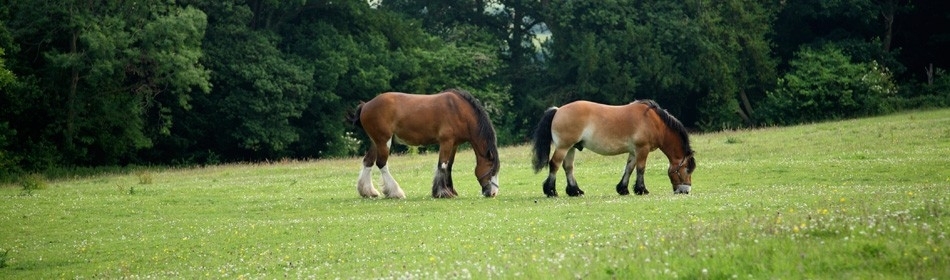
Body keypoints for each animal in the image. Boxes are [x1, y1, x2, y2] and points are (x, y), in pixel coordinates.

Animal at [348, 88, 498, 198]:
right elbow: (442, 165)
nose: (493, 193)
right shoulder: (446, 142)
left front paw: (450, 190)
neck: (459, 110)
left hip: (376, 141)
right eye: (492, 170)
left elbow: (449, 166)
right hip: (384, 141)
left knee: (368, 161)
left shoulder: (454, 144)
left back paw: (368, 192)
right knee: (381, 163)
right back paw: (395, 192)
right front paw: (442, 192)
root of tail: (366, 105)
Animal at [532, 100, 696, 197]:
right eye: (687, 170)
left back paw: (575, 191)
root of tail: (558, 110)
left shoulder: (634, 151)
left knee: (568, 167)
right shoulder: (642, 149)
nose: (686, 191)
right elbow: (641, 169)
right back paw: (551, 191)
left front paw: (623, 189)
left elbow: (629, 168)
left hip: (571, 148)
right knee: (555, 165)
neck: (655, 123)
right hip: (563, 147)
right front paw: (641, 189)